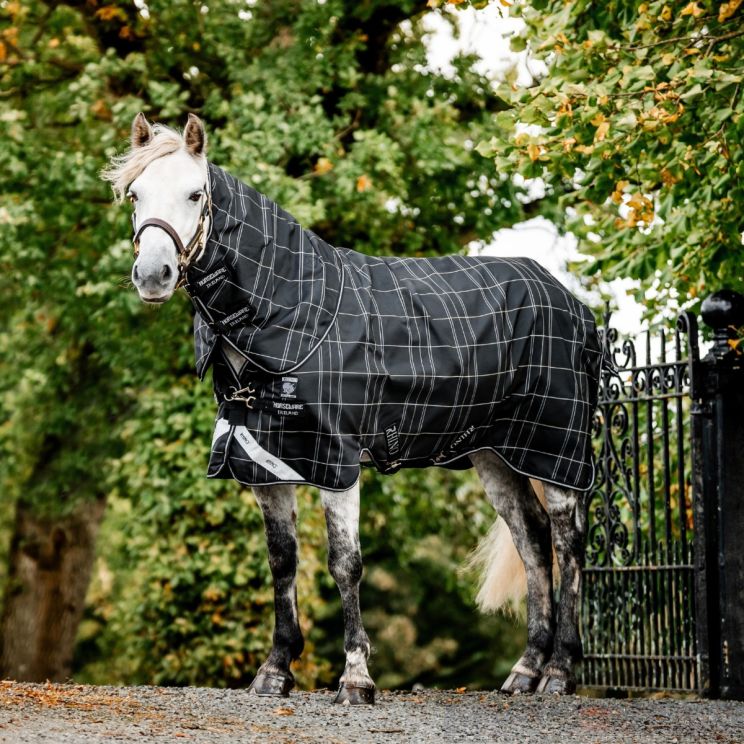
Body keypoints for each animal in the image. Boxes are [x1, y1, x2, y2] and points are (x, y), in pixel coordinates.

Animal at [102, 113, 602, 704]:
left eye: (195, 194)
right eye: (135, 194)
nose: (152, 275)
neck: (292, 312)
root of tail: (572, 304)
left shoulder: (336, 463)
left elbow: (345, 564)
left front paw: (356, 678)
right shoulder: (267, 464)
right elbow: (282, 562)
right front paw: (275, 671)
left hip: (555, 448)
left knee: (568, 542)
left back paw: (560, 672)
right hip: (495, 455)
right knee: (532, 541)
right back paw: (525, 671)